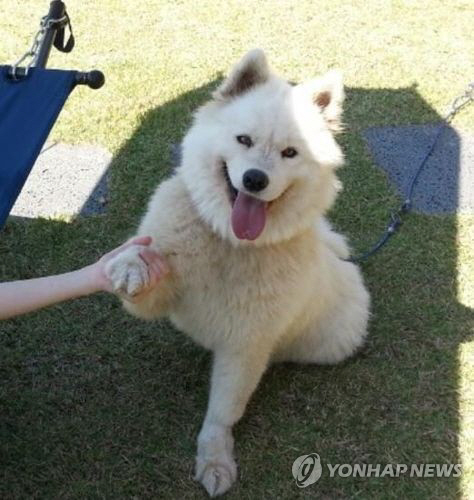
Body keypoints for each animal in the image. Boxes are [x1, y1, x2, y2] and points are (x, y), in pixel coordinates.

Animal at [105, 48, 368, 494]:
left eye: (290, 153)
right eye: (243, 140)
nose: (255, 179)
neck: (229, 241)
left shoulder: (245, 347)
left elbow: (222, 412)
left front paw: (215, 460)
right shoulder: (161, 297)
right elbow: (144, 263)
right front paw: (130, 265)